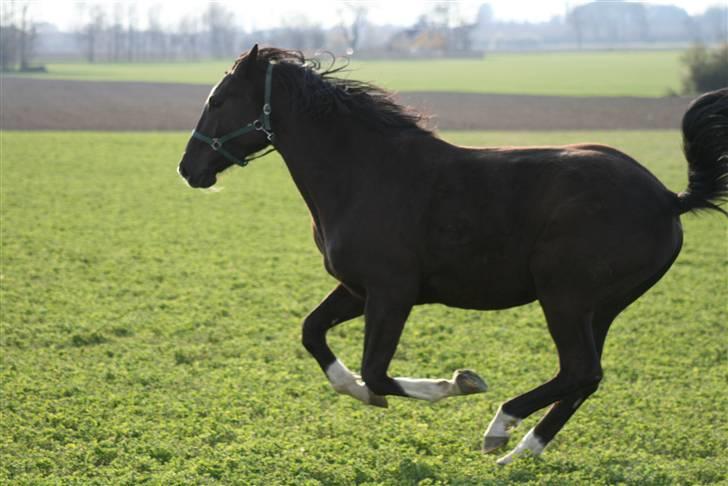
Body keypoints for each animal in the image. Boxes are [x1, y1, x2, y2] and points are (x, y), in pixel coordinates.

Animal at [178, 46, 728, 468]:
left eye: (218, 99)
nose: (188, 167)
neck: (362, 173)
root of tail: (669, 198)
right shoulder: (358, 288)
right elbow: (314, 334)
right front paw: (361, 392)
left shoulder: (393, 292)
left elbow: (377, 370)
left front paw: (458, 383)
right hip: (601, 307)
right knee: (585, 377)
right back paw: (522, 451)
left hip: (565, 297)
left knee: (579, 371)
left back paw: (502, 427)